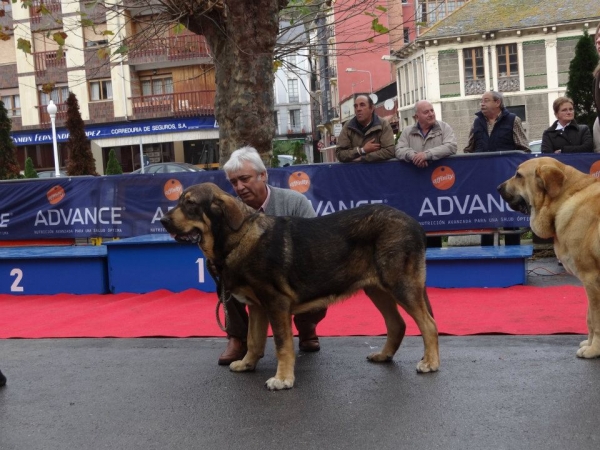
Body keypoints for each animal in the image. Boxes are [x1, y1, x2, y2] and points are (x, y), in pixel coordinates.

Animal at [161, 183, 440, 390]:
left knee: (428, 324)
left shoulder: (276, 304)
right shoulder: (258, 307)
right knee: (397, 324)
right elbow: (253, 340)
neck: (236, 237)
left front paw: (283, 379)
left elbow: (282, 344)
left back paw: (430, 363)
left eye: (190, 204)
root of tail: (415, 224)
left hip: (400, 285)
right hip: (377, 289)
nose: (163, 220)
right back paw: (384, 355)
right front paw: (247, 364)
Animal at [500, 158, 600, 358]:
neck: (565, 197)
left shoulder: (592, 278)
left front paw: (593, 350)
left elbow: (596, 319)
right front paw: (590, 344)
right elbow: (589, 318)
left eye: (519, 175)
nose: (498, 188)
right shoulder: (589, 283)